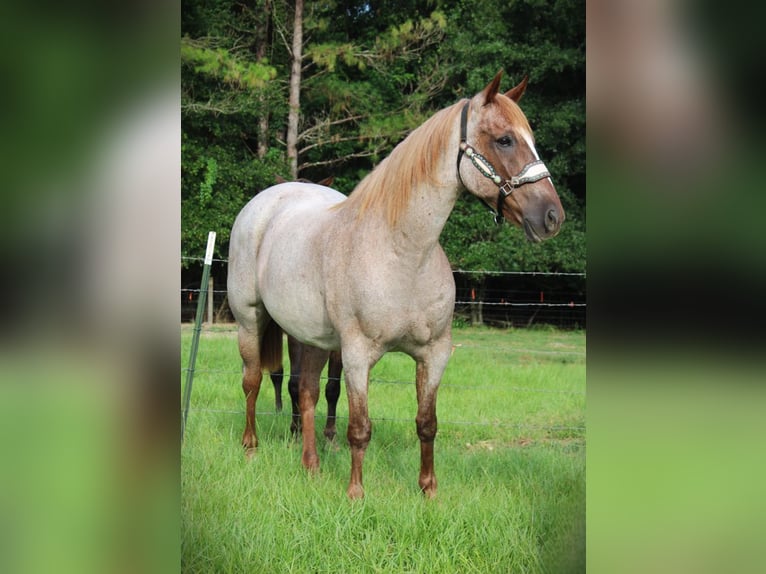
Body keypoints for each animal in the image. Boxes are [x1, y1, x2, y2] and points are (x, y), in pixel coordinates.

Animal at [227, 71, 564, 499]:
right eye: (504, 139)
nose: (552, 216)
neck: (403, 254)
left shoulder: (434, 354)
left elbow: (427, 422)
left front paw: (428, 491)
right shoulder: (357, 355)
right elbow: (359, 428)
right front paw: (356, 494)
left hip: (312, 337)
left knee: (306, 393)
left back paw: (312, 466)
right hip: (250, 321)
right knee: (253, 381)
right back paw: (251, 448)